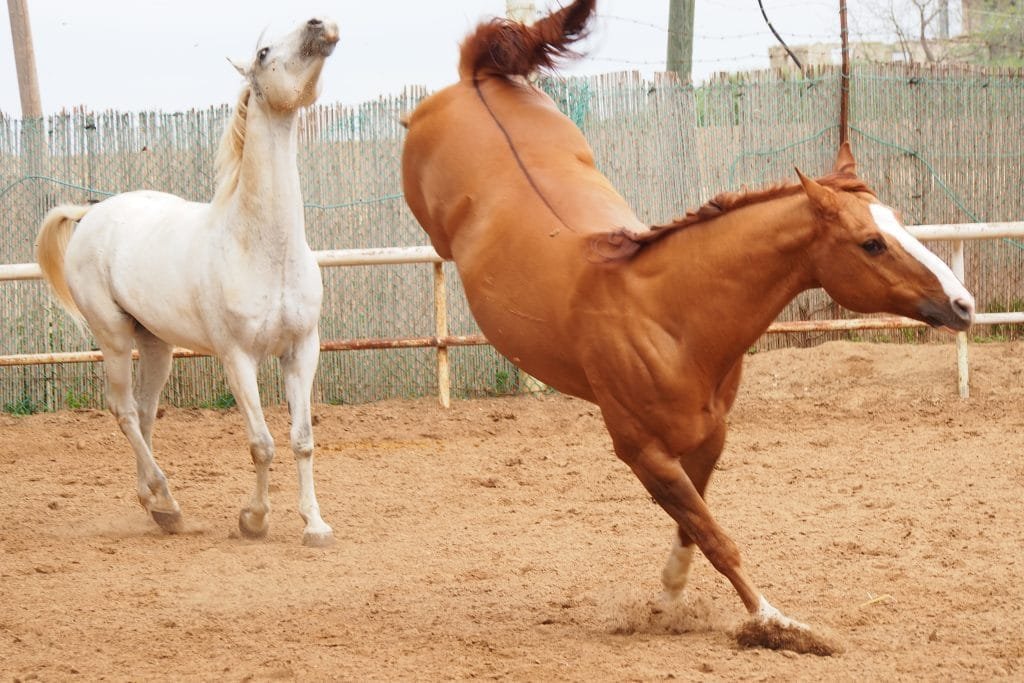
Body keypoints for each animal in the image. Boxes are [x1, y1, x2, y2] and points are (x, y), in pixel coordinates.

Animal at [35, 18, 339, 547]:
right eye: (264, 52)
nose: (319, 25)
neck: (262, 247)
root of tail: (91, 214)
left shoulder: (302, 350)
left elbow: (302, 440)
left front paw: (315, 526)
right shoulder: (237, 358)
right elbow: (262, 443)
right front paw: (253, 520)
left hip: (156, 347)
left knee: (144, 411)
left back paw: (155, 506)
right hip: (114, 339)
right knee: (124, 411)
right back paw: (168, 502)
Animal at [401, 0, 975, 654]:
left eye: (897, 221)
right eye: (871, 243)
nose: (963, 304)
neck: (667, 318)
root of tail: (476, 80)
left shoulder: (708, 437)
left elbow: (693, 527)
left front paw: (669, 599)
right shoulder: (642, 452)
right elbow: (715, 535)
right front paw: (778, 625)